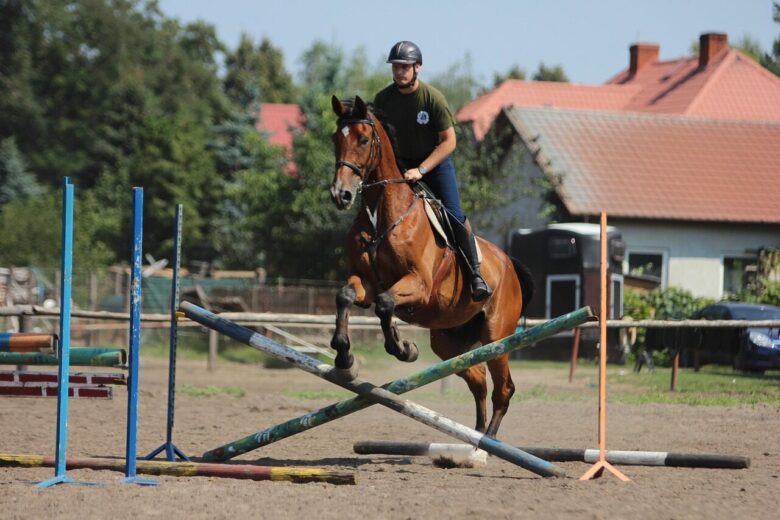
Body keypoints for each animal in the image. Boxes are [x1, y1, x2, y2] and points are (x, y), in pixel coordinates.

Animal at [328, 95, 533, 438]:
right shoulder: (367, 282)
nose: (340, 195)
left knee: (503, 389)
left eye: (363, 139)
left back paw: (488, 442)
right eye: (335, 139)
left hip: (497, 336)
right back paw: (474, 437)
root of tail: (509, 264)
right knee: (478, 378)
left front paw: (403, 347)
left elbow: (385, 304)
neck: (381, 215)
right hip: (448, 340)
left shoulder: (418, 286)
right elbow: (346, 296)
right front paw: (344, 356)